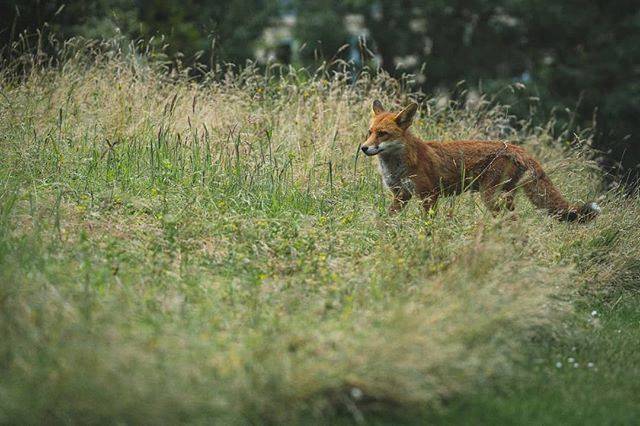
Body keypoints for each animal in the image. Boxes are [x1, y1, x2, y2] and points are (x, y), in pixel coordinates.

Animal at [361, 100, 601, 222]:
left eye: (382, 134)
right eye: (370, 132)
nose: (363, 148)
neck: (397, 165)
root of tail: (518, 148)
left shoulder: (429, 196)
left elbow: (427, 225)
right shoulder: (401, 196)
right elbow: (387, 220)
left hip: (489, 197)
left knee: (511, 219)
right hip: (505, 197)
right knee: (514, 218)